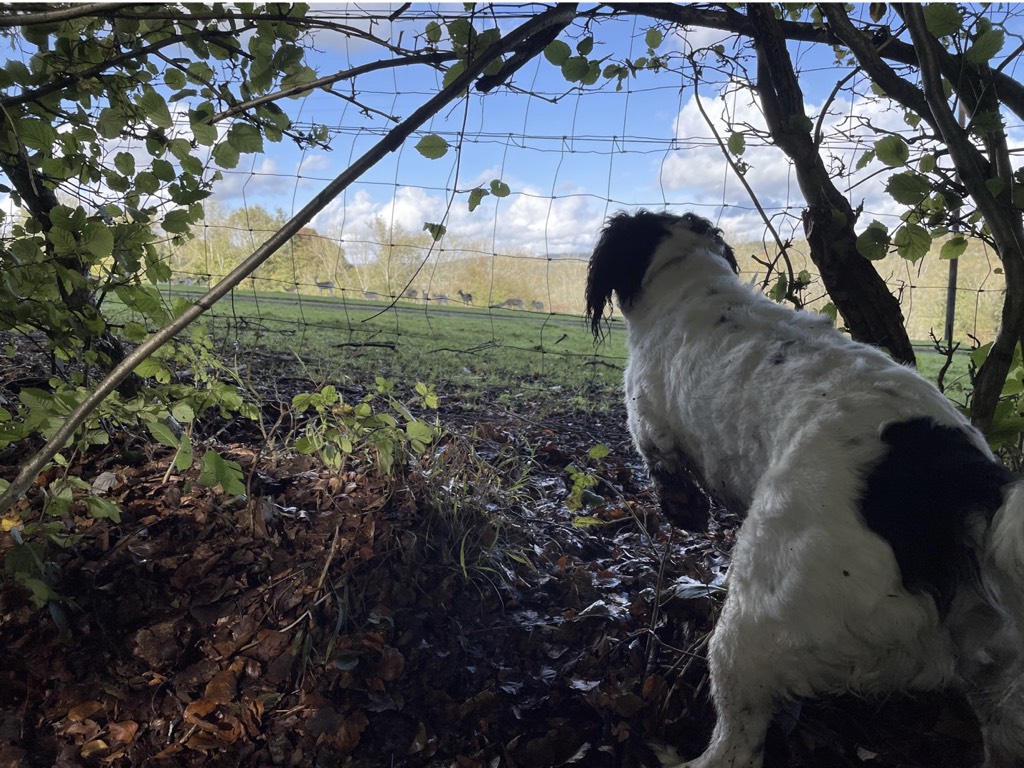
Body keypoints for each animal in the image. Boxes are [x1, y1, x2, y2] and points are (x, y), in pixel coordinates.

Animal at [589, 207, 1024, 765]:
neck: (690, 278)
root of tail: (963, 485)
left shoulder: (650, 421)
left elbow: (667, 475)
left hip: (756, 626)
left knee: (737, 744)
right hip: (999, 671)